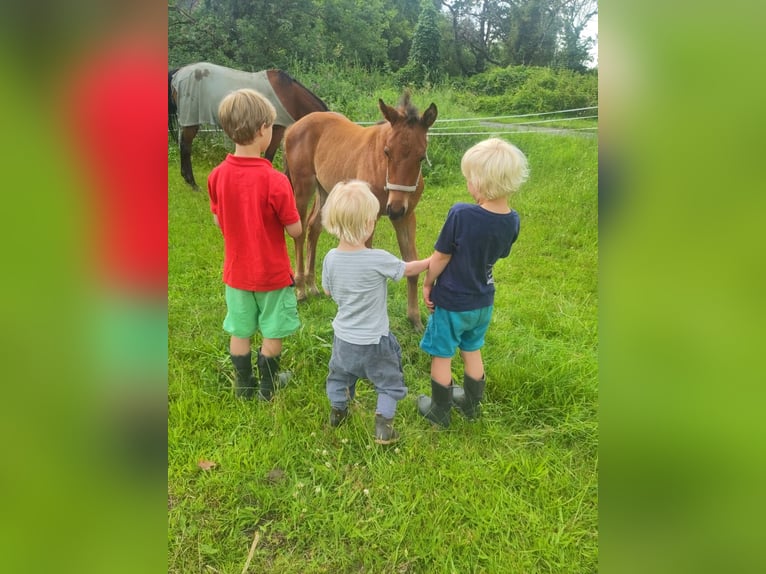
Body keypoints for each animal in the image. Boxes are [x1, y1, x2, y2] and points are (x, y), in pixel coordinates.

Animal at [170, 62, 328, 190]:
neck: (290, 96)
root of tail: (179, 72)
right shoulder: (277, 128)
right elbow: (269, 155)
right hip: (191, 119)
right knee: (186, 146)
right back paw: (192, 183)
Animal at [284, 92, 440, 330]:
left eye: (421, 156)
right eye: (387, 151)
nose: (394, 209)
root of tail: (292, 128)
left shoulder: (406, 216)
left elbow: (411, 264)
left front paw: (415, 320)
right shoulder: (371, 217)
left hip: (325, 190)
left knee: (314, 227)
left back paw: (313, 286)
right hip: (303, 186)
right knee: (300, 232)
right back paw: (301, 289)